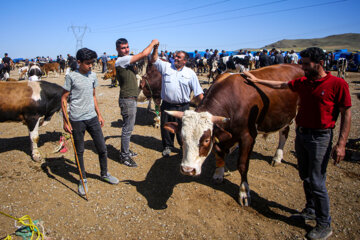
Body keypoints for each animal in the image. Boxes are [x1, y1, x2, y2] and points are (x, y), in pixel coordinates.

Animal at [165, 63, 302, 206]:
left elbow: (242, 165)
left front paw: (244, 192)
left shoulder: (248, 137)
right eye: (181, 139)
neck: (233, 103)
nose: (187, 170)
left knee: (284, 134)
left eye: (206, 140)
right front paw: (219, 174)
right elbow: (219, 154)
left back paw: (277, 157)